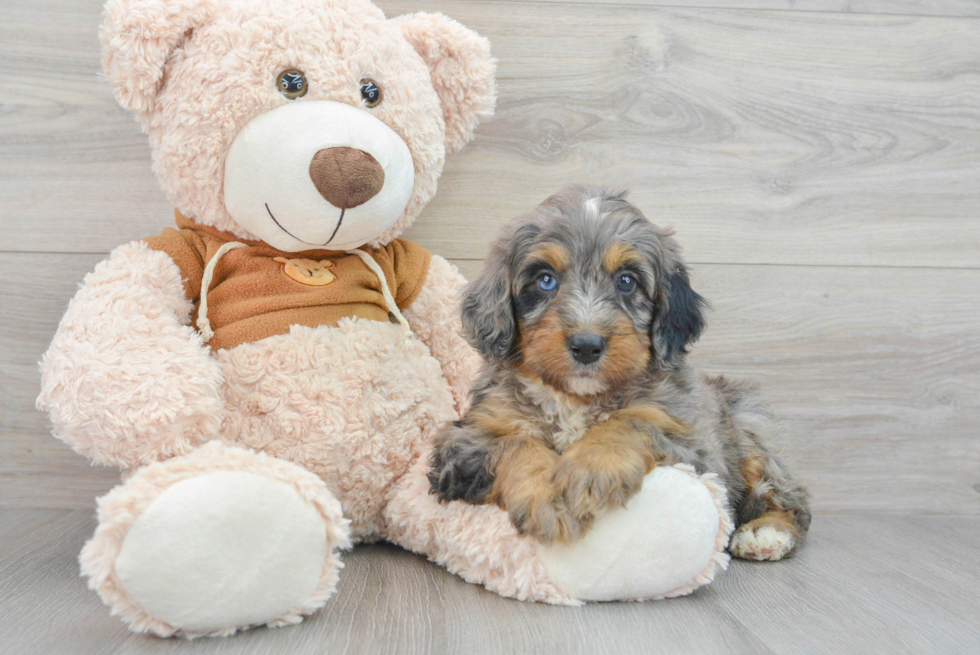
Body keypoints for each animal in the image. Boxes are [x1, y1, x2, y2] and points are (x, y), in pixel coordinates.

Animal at [428, 187, 812, 560]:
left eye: (627, 281)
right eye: (545, 280)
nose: (586, 345)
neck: (575, 398)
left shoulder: (694, 445)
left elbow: (629, 422)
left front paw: (589, 469)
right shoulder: (467, 439)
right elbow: (517, 443)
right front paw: (547, 498)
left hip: (750, 423)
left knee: (790, 497)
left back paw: (766, 533)